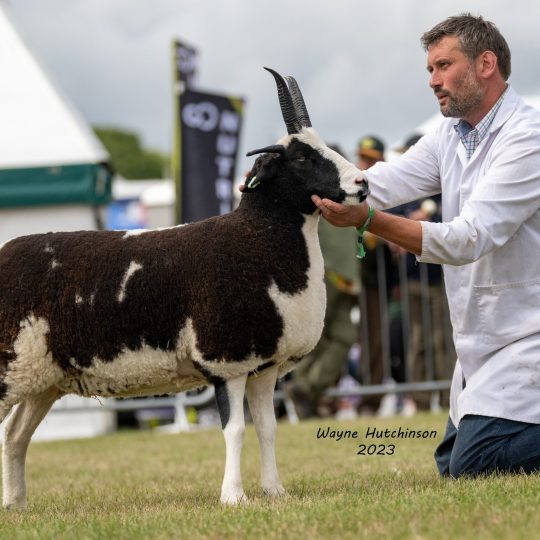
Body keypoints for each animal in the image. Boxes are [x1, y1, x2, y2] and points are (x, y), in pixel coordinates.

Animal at [0, 66, 368, 506]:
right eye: (300, 157)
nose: (362, 183)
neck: (258, 239)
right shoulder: (227, 361)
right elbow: (235, 430)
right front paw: (234, 497)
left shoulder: (263, 367)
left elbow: (268, 429)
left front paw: (275, 491)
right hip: (11, 364)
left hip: (41, 378)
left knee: (14, 435)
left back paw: (17, 505)